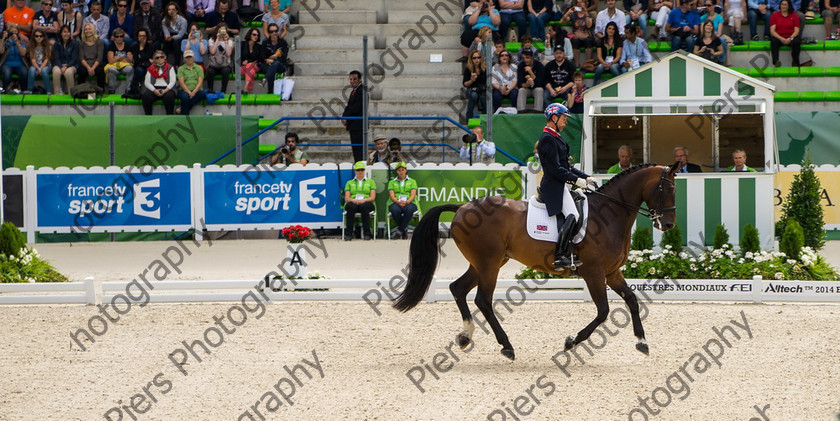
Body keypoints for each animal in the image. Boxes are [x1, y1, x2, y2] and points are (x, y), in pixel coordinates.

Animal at [394, 162, 684, 360]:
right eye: (668, 188)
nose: (668, 224)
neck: (609, 214)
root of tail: (462, 207)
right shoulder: (594, 272)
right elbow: (603, 311)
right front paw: (570, 341)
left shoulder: (612, 272)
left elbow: (632, 300)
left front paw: (642, 342)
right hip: (488, 263)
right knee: (482, 300)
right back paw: (507, 346)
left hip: (486, 263)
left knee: (458, 288)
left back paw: (465, 336)